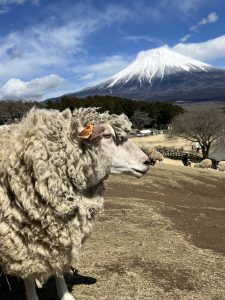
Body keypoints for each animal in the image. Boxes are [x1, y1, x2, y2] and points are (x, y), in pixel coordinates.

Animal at [0, 108, 151, 300]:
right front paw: (33, 295)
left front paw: (65, 294)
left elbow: (58, 261)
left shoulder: (58, 229)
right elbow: (28, 272)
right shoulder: (20, 237)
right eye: (107, 135)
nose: (147, 161)